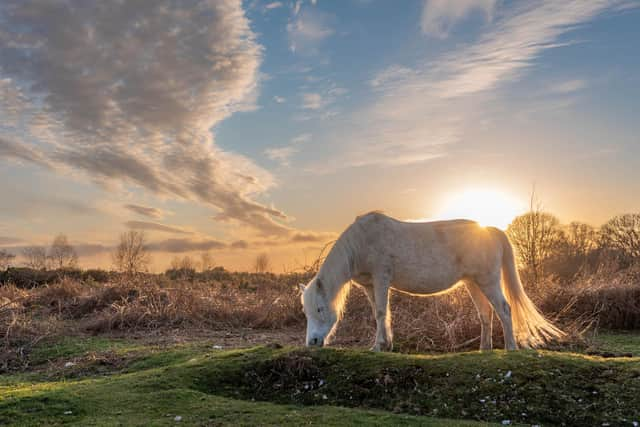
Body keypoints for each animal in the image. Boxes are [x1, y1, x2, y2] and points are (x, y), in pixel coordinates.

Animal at [298, 212, 564, 352]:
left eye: (320, 309)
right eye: (306, 311)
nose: (312, 342)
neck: (362, 242)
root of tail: (489, 230)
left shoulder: (381, 278)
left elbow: (381, 312)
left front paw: (378, 346)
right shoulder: (370, 286)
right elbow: (379, 313)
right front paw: (386, 344)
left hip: (488, 282)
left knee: (504, 309)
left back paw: (510, 348)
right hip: (473, 284)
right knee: (485, 313)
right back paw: (484, 349)